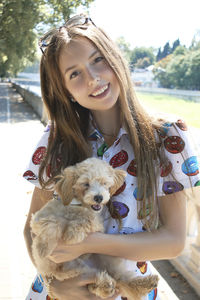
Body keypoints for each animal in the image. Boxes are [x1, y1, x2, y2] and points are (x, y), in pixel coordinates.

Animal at [30, 158, 158, 298]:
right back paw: (104, 285)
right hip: (78, 269)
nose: (98, 197)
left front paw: (72, 233)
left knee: (120, 278)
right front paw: (43, 248)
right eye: (86, 184)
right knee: (82, 277)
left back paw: (143, 284)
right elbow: (54, 221)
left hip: (106, 257)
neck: (78, 206)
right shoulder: (37, 219)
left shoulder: (97, 225)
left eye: (104, 183)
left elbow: (86, 218)